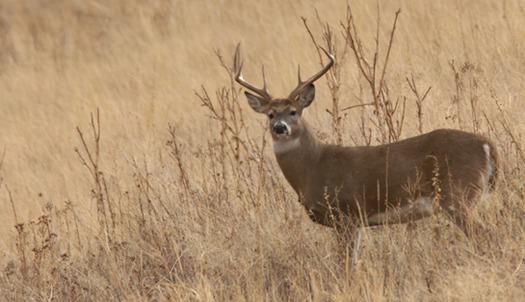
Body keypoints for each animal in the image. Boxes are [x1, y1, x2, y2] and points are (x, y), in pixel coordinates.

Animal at [232, 43, 496, 236]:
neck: (313, 166)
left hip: (458, 195)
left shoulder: (346, 213)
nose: (280, 127)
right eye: (270, 114)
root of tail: (487, 145)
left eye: (293, 111)